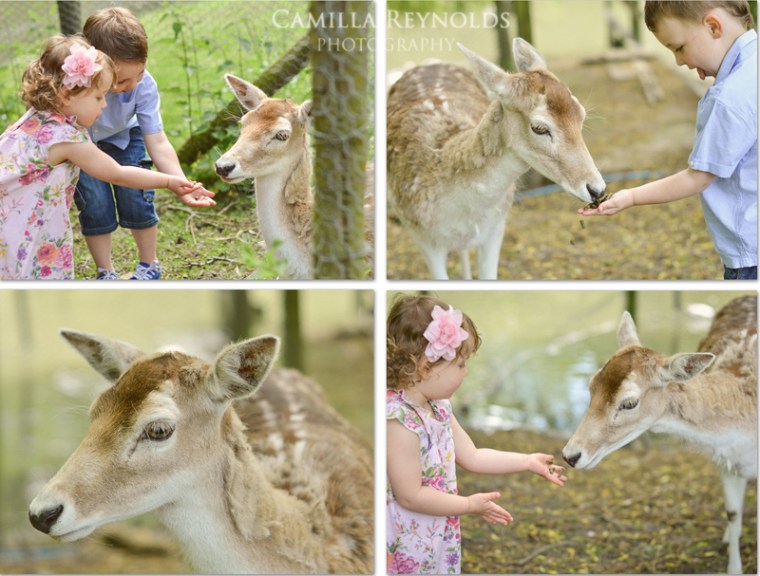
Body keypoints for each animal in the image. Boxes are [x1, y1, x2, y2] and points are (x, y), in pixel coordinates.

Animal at [562, 295, 757, 574]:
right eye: (591, 385)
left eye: (629, 403)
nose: (570, 455)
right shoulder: (725, 461)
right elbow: (732, 511)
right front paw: (734, 567)